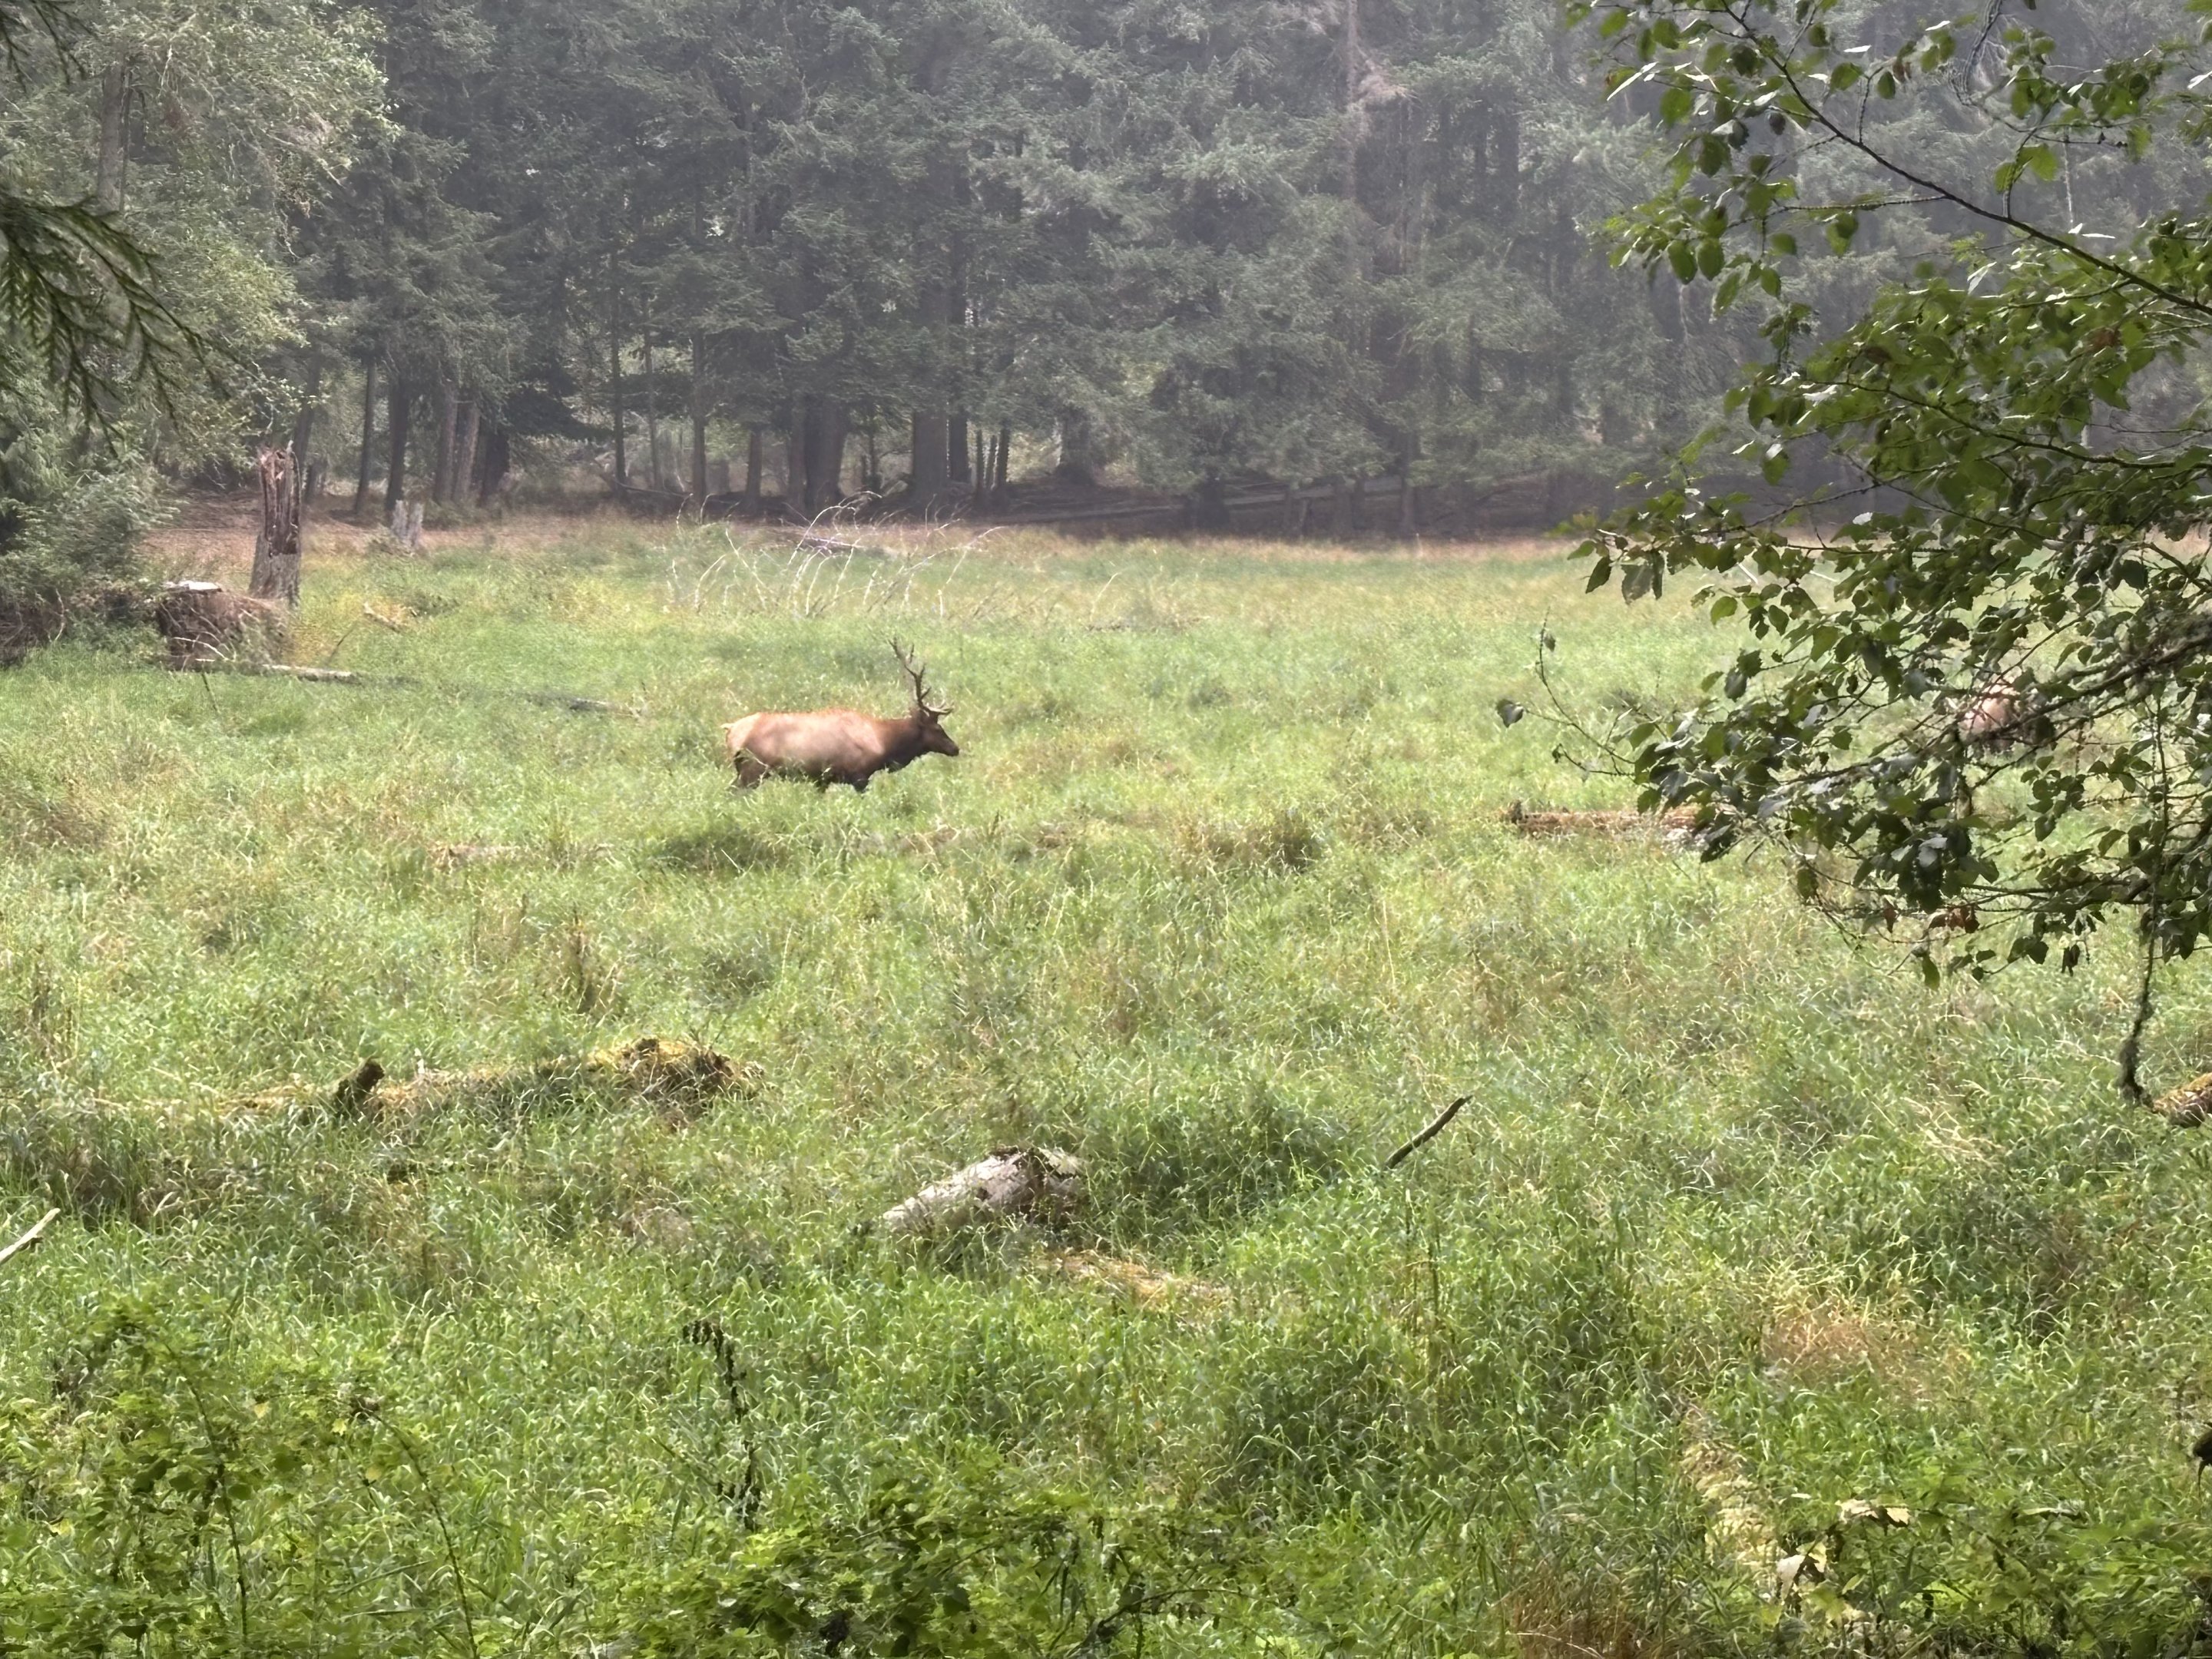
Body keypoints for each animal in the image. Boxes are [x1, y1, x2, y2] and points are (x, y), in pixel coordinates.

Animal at [722, 640, 960, 792]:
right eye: (938, 728)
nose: (955, 748)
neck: (884, 742)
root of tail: (731, 729)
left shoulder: (821, 780)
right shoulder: (859, 776)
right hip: (753, 771)